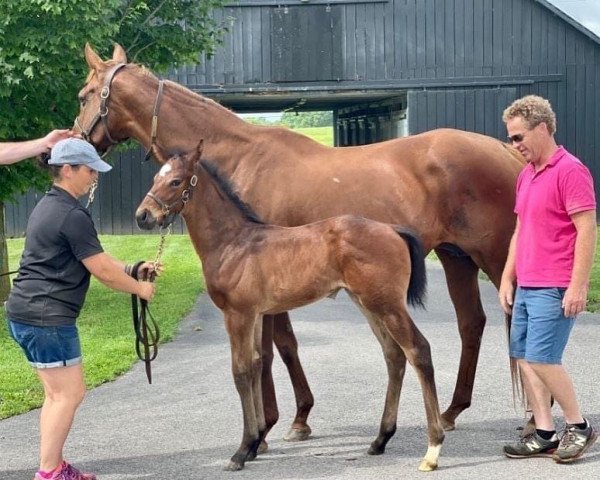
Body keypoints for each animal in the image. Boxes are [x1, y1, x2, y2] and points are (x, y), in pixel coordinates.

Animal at [137, 143, 446, 472]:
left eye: (175, 182)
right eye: (155, 177)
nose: (143, 216)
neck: (232, 242)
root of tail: (392, 229)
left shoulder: (237, 314)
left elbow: (241, 371)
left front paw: (241, 451)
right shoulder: (257, 314)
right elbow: (257, 365)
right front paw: (255, 443)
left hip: (387, 305)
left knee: (418, 350)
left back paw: (432, 449)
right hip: (367, 304)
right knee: (393, 355)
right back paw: (380, 440)